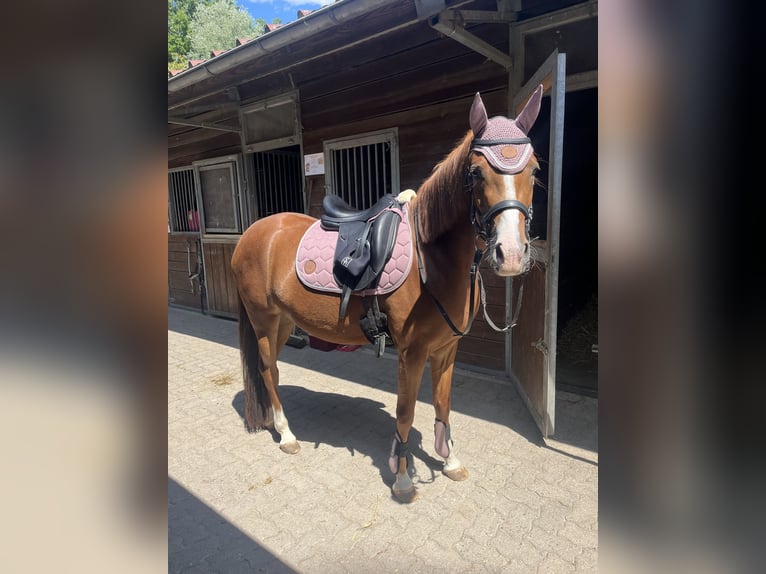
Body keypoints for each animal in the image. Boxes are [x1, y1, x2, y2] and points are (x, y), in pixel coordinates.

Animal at [231, 86, 544, 504]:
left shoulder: (446, 350)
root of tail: (253, 234)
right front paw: (403, 478)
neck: (432, 257)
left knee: (274, 371)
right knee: (267, 369)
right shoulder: (412, 352)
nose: (509, 254)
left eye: (534, 170)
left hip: (283, 321)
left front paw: (450, 461)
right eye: (476, 172)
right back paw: (286, 435)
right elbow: (406, 413)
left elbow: (443, 406)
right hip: (263, 319)